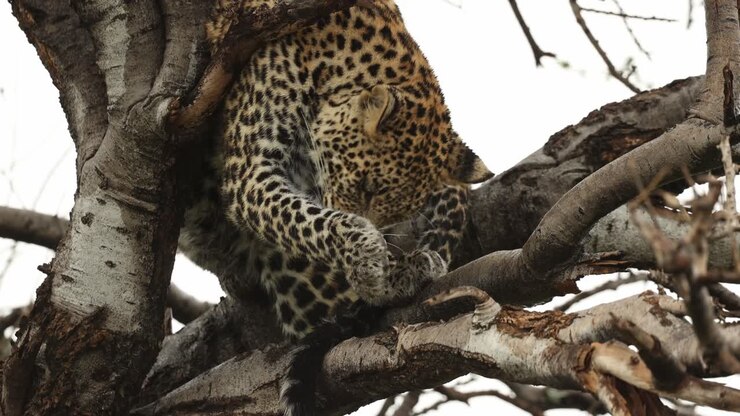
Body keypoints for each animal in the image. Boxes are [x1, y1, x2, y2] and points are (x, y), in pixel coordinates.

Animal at [178, 0, 493, 413]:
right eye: (366, 187)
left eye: (395, 211)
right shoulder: (251, 170)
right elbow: (314, 221)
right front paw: (373, 263)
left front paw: (383, 270)